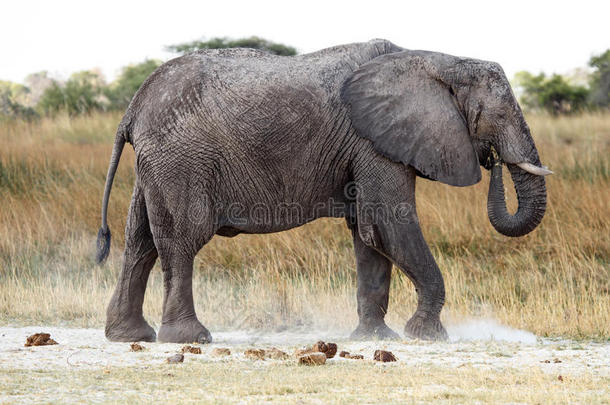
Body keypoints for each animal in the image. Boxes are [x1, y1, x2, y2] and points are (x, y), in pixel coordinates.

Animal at [96, 38, 552, 342]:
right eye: (497, 115)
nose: (493, 160)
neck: (437, 59)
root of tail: (132, 108)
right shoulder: (373, 141)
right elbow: (391, 224)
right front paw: (425, 335)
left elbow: (369, 235)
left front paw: (374, 339)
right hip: (181, 158)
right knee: (181, 240)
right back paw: (191, 339)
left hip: (157, 165)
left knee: (140, 242)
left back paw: (130, 336)